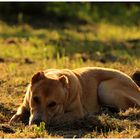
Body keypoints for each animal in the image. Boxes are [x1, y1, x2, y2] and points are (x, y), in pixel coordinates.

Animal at [9, 67, 140, 125]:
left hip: (105, 88)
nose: (36, 122)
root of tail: (136, 85)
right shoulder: (25, 103)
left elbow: (58, 117)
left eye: (52, 104)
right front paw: (16, 119)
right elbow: (20, 112)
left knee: (132, 106)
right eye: (35, 99)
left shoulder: (76, 112)